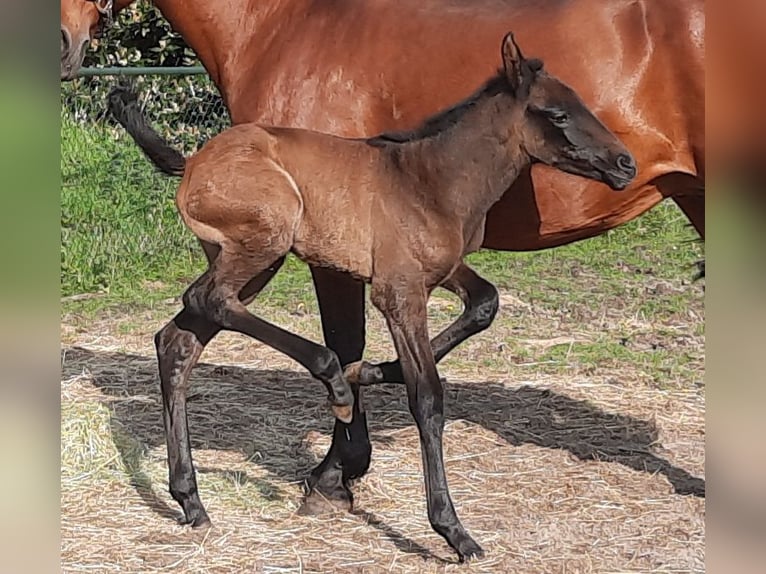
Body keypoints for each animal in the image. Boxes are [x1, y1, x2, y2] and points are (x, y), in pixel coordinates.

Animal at [60, 0, 708, 516]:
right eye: (555, 114)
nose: (624, 164)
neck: (426, 177)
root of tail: (194, 159)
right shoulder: (395, 289)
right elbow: (422, 389)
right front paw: (443, 525)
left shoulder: (438, 270)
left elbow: (478, 308)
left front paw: (366, 387)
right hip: (264, 245)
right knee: (204, 304)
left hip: (254, 259)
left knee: (181, 336)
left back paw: (191, 499)